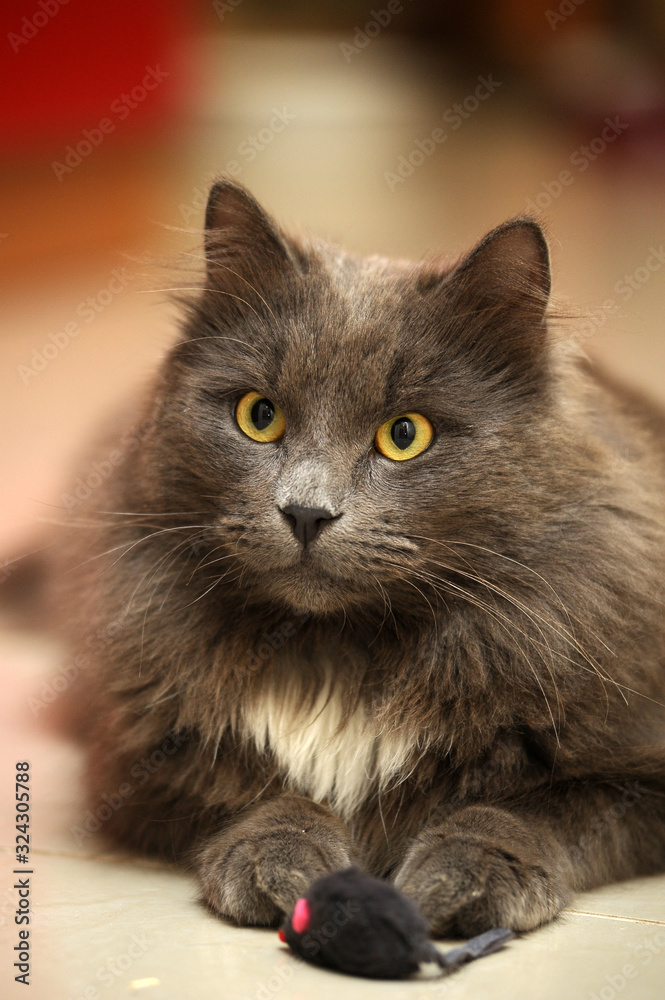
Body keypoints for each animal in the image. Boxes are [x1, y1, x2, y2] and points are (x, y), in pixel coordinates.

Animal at [55, 180, 664, 936]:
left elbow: (529, 808)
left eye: (405, 434)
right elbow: (255, 792)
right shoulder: (135, 759)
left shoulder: (637, 763)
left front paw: (466, 874)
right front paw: (282, 859)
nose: (305, 512)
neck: (340, 651)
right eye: (259, 416)